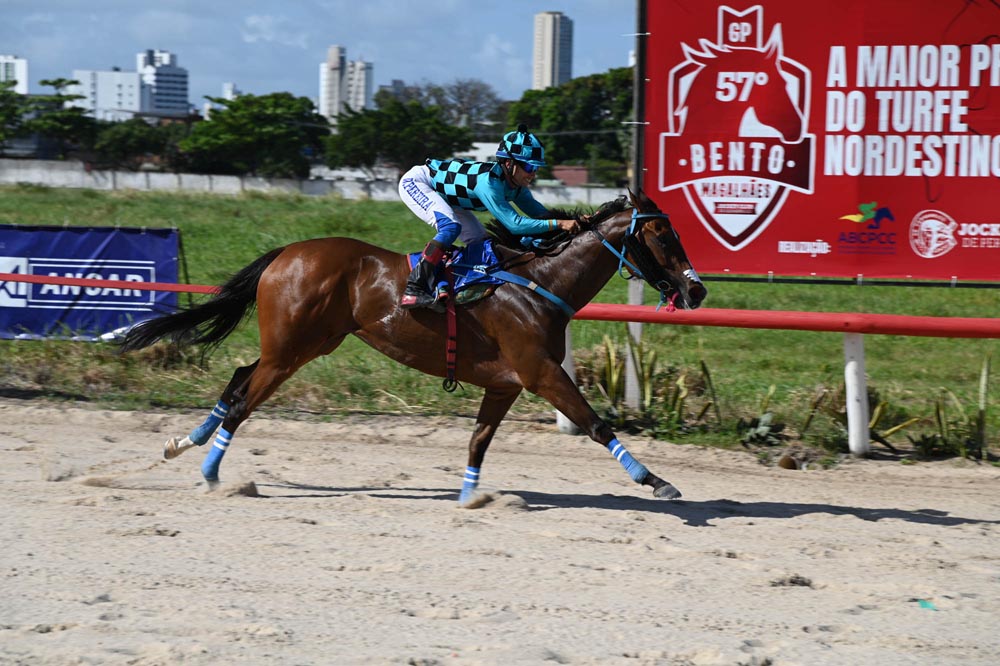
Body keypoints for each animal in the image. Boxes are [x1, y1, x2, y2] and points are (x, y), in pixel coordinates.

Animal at [118, 188, 707, 504]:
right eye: (663, 236)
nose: (697, 290)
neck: (538, 281)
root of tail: (286, 253)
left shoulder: (506, 383)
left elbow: (478, 441)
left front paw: (471, 497)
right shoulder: (541, 372)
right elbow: (596, 424)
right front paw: (657, 482)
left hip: (303, 345)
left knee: (239, 378)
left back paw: (184, 444)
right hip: (291, 349)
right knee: (243, 400)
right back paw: (211, 473)